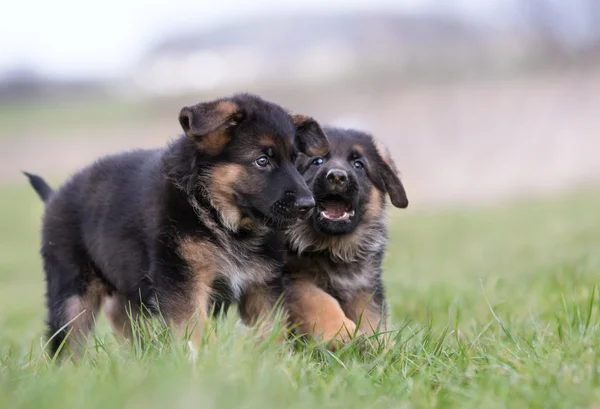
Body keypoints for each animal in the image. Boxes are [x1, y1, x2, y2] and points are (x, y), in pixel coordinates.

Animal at [23, 92, 328, 356]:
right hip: (72, 291)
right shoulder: (183, 281)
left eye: (295, 160)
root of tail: (54, 196)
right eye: (262, 161)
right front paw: (209, 365)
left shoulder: (262, 286)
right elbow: (198, 331)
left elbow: (272, 334)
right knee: (67, 343)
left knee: (124, 320)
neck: (216, 214)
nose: (308, 204)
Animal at [282, 126, 408, 348]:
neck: (333, 248)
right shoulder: (294, 279)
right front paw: (343, 335)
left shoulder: (363, 286)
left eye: (359, 165)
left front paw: (382, 346)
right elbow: (320, 301)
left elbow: (372, 317)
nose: (337, 177)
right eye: (317, 161)